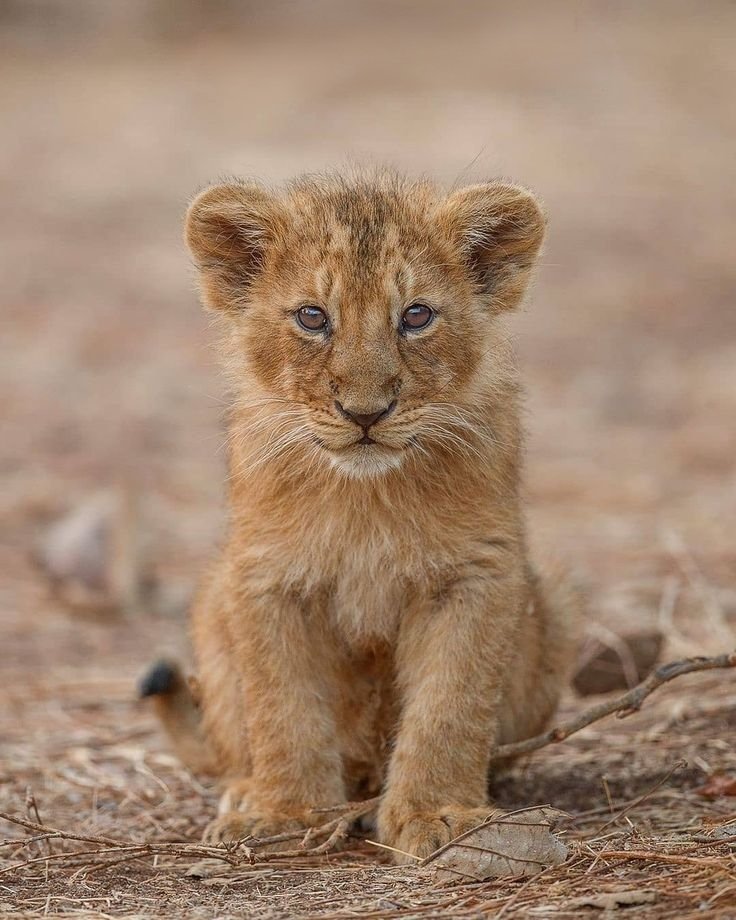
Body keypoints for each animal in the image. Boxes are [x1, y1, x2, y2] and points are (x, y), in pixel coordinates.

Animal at [141, 169, 578, 861]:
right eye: (313, 317)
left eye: (416, 316)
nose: (365, 412)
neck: (365, 499)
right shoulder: (265, 577)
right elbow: (283, 707)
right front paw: (287, 813)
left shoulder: (476, 574)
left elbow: (449, 705)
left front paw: (437, 814)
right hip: (212, 602)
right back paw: (246, 794)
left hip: (553, 608)